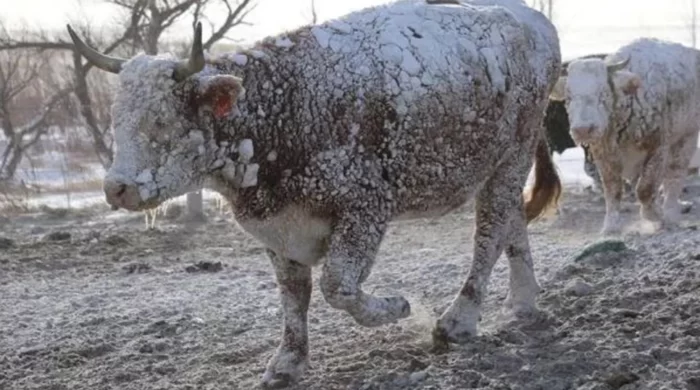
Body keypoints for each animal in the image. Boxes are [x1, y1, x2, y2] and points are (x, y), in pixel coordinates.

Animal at [68, 0, 564, 384]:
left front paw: (397, 307)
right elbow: (294, 295)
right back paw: (522, 303)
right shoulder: (279, 229)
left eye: (161, 121)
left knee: (490, 234)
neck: (279, 108)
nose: (117, 188)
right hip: (500, 168)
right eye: (117, 119)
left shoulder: (365, 209)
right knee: (512, 224)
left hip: (509, 160)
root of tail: (532, 20)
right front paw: (287, 362)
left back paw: (458, 321)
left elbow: (336, 286)